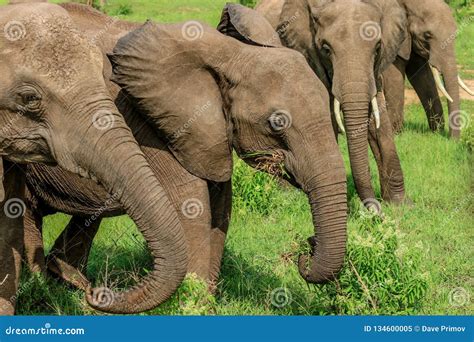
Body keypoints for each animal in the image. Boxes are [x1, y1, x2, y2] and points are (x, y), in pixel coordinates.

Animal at [22, 1, 346, 302]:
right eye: (276, 123)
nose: (307, 247)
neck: (229, 55)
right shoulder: (147, 121)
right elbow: (192, 203)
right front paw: (193, 301)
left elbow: (220, 206)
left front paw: (205, 301)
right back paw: (44, 288)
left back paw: (68, 279)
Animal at [384, 0, 472, 140]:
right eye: (427, 35)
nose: (453, 141)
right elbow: (393, 78)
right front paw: (395, 135)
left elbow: (423, 77)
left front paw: (437, 132)